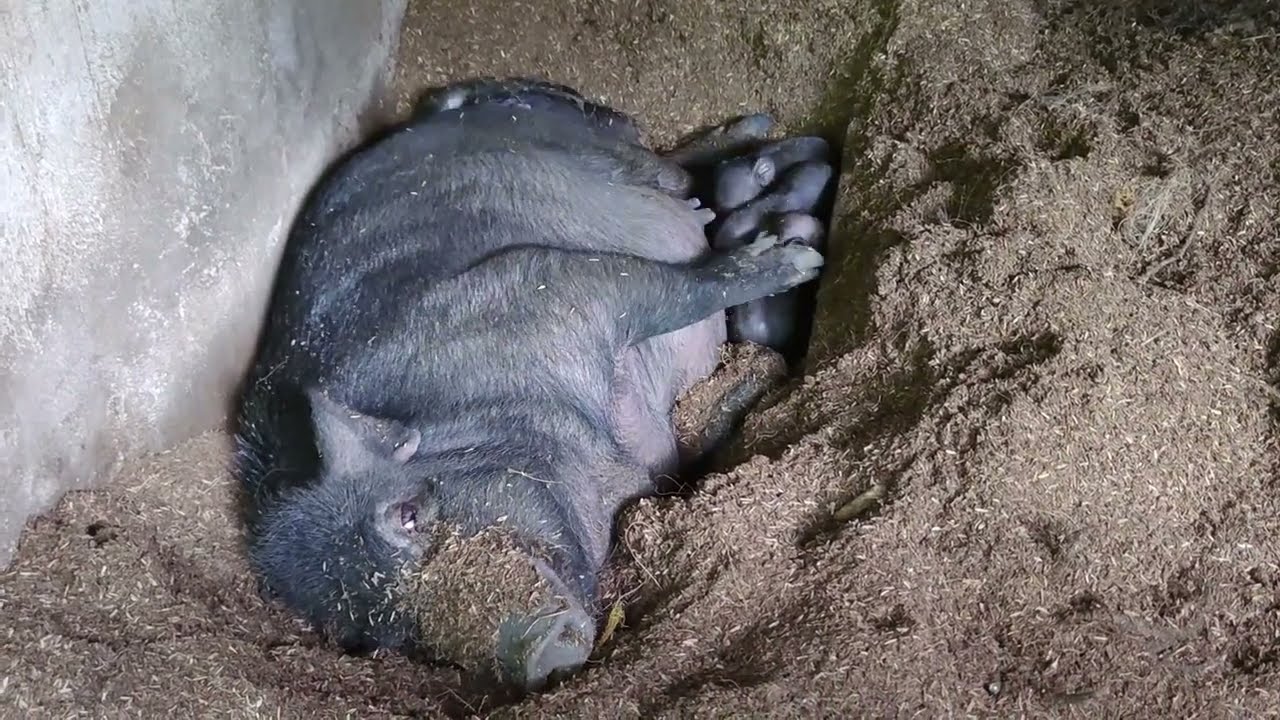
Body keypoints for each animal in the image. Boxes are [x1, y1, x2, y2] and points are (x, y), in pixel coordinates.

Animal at [231, 76, 821, 693]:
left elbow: (677, 289)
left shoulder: (547, 283)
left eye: (407, 515)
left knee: (665, 166)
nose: (534, 654)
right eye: (380, 635)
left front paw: (797, 261)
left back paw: (748, 144)